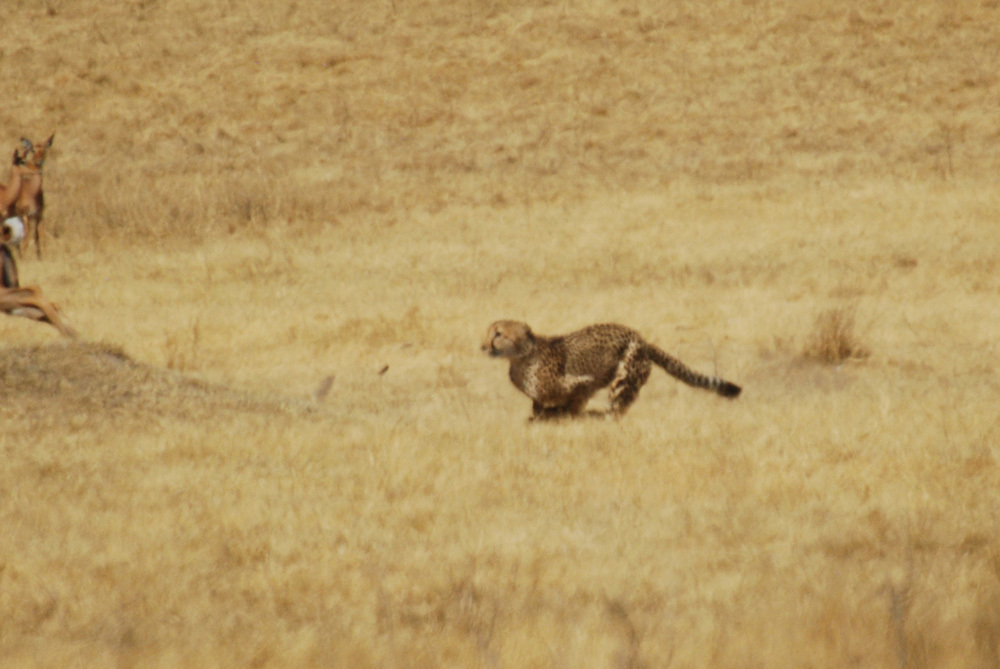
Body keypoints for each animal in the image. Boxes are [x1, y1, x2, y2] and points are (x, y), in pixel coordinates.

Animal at [480, 320, 740, 420]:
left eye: (498, 334)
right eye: (489, 332)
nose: (483, 346)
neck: (520, 358)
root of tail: (641, 337)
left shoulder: (584, 383)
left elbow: (572, 405)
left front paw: (568, 417)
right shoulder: (542, 398)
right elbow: (541, 408)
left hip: (624, 378)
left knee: (615, 412)